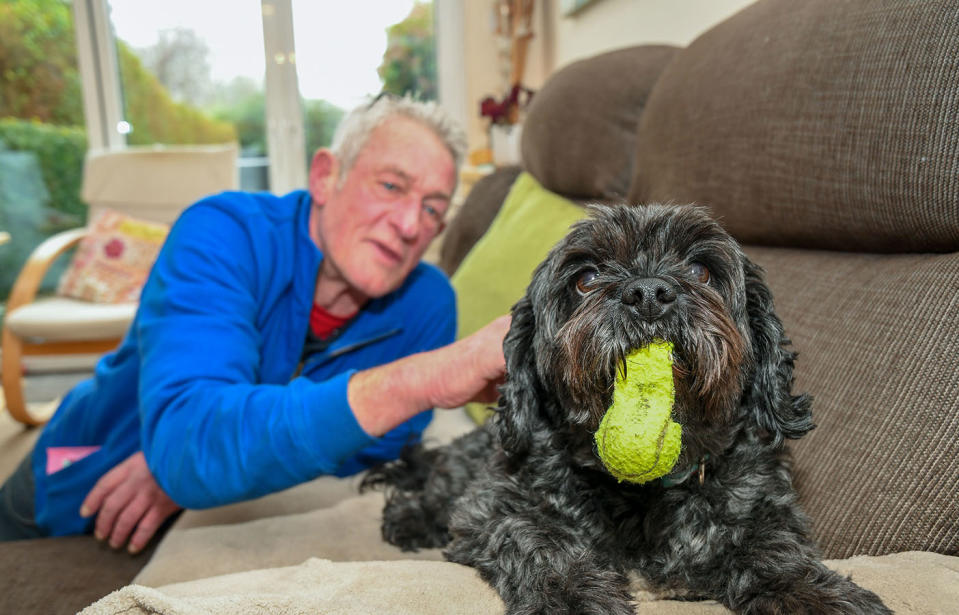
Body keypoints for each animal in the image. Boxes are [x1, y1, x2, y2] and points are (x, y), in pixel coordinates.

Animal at [362, 205, 892, 612]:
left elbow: (774, 549)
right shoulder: (496, 506)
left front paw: (816, 595)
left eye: (700, 271)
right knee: (433, 487)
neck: (643, 495)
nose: (649, 293)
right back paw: (408, 518)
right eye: (586, 278)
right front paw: (574, 598)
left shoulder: (763, 507)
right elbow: (540, 540)